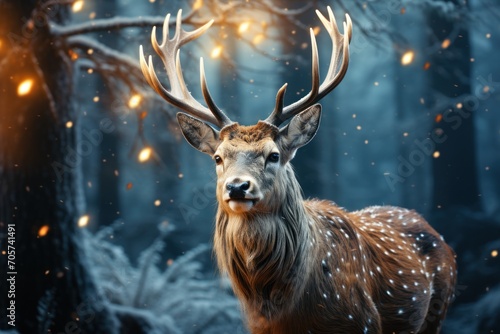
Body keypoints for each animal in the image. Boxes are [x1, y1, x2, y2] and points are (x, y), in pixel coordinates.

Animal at [140, 6, 458, 332]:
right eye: (218, 157)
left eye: (273, 155)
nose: (238, 186)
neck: (285, 309)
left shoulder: (363, 321)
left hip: (437, 310)